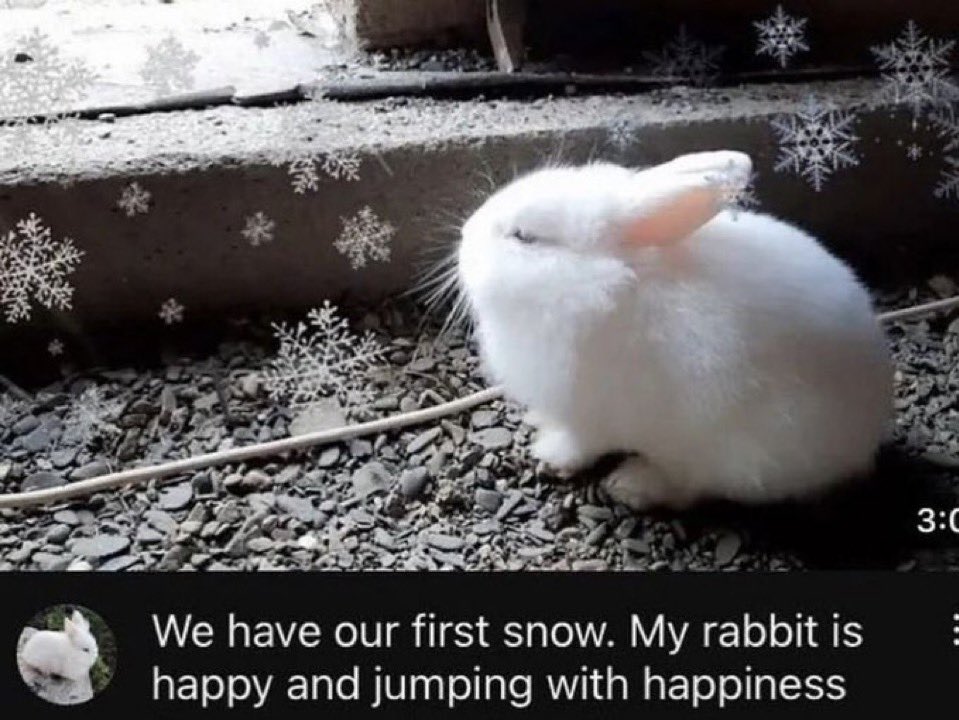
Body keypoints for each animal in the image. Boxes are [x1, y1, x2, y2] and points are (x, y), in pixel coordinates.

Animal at [458, 151, 893, 510]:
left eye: (524, 236)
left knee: (688, 486)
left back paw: (631, 485)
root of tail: (865, 440)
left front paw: (548, 455)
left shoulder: (589, 410)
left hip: (728, 451)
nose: (463, 235)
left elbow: (580, 442)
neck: (604, 287)